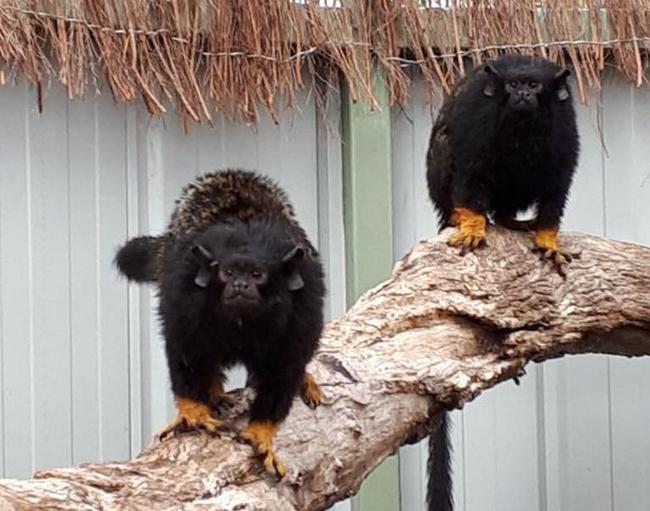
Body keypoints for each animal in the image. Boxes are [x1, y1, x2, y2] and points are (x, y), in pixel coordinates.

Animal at [116, 170, 324, 478]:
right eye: (228, 273)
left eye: (257, 274)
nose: (240, 285)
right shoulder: (185, 296)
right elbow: (184, 351)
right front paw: (193, 411)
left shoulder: (303, 309)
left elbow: (286, 369)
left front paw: (261, 433)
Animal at [426, 54, 576, 510]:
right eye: (512, 87)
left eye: (534, 85)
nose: (523, 94)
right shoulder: (479, 117)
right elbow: (470, 172)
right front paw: (474, 223)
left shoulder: (563, 126)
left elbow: (556, 186)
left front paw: (548, 237)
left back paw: (511, 220)